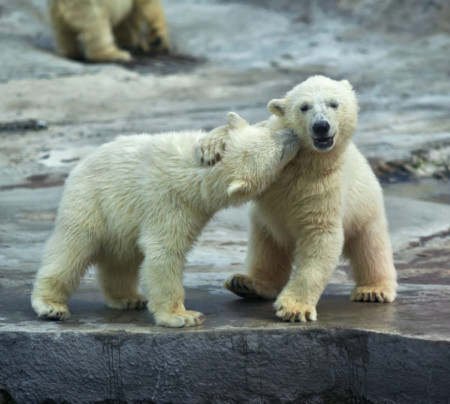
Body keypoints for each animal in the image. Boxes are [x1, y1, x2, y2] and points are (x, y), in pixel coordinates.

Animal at [30, 112, 298, 326]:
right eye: (279, 154)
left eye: (272, 130)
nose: (293, 134)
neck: (194, 174)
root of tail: (80, 165)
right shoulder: (169, 204)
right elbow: (165, 252)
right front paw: (184, 316)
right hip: (91, 201)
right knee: (72, 249)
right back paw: (51, 305)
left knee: (123, 257)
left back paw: (128, 298)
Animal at [202, 75, 396, 322]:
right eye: (304, 107)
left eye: (334, 104)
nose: (321, 126)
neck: (304, 159)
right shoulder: (277, 132)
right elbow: (255, 132)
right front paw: (210, 146)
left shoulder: (325, 182)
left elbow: (320, 235)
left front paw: (294, 309)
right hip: (266, 223)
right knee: (266, 247)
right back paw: (246, 283)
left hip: (366, 208)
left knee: (371, 247)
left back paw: (373, 289)